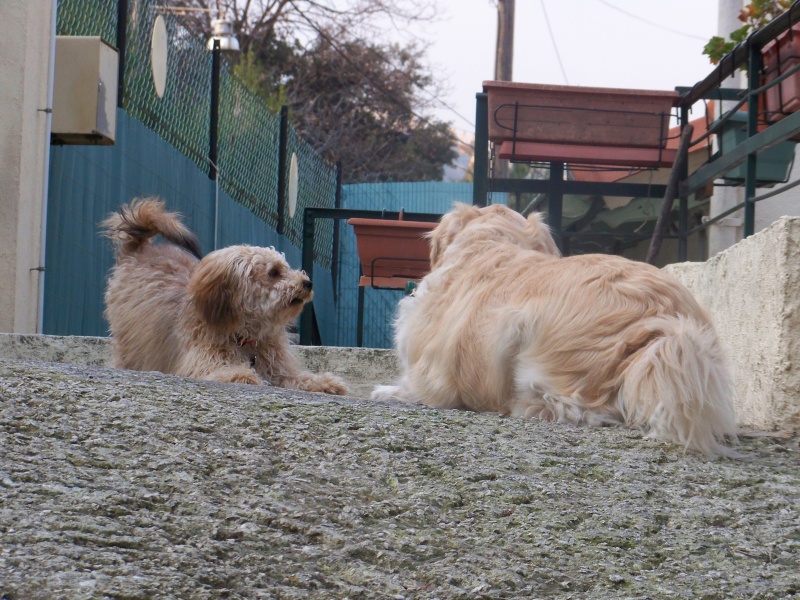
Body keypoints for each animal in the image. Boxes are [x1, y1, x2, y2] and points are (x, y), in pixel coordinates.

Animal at [102, 197, 346, 396]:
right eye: (274, 272)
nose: (307, 283)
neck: (245, 336)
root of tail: (138, 249)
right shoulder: (200, 359)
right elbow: (220, 369)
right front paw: (241, 374)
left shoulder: (278, 368)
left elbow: (298, 377)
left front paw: (325, 382)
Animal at [374, 204, 736, 458]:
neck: (488, 246)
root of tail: (663, 322)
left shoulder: (431, 375)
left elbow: (415, 388)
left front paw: (386, 392)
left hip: (523, 338)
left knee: (576, 410)